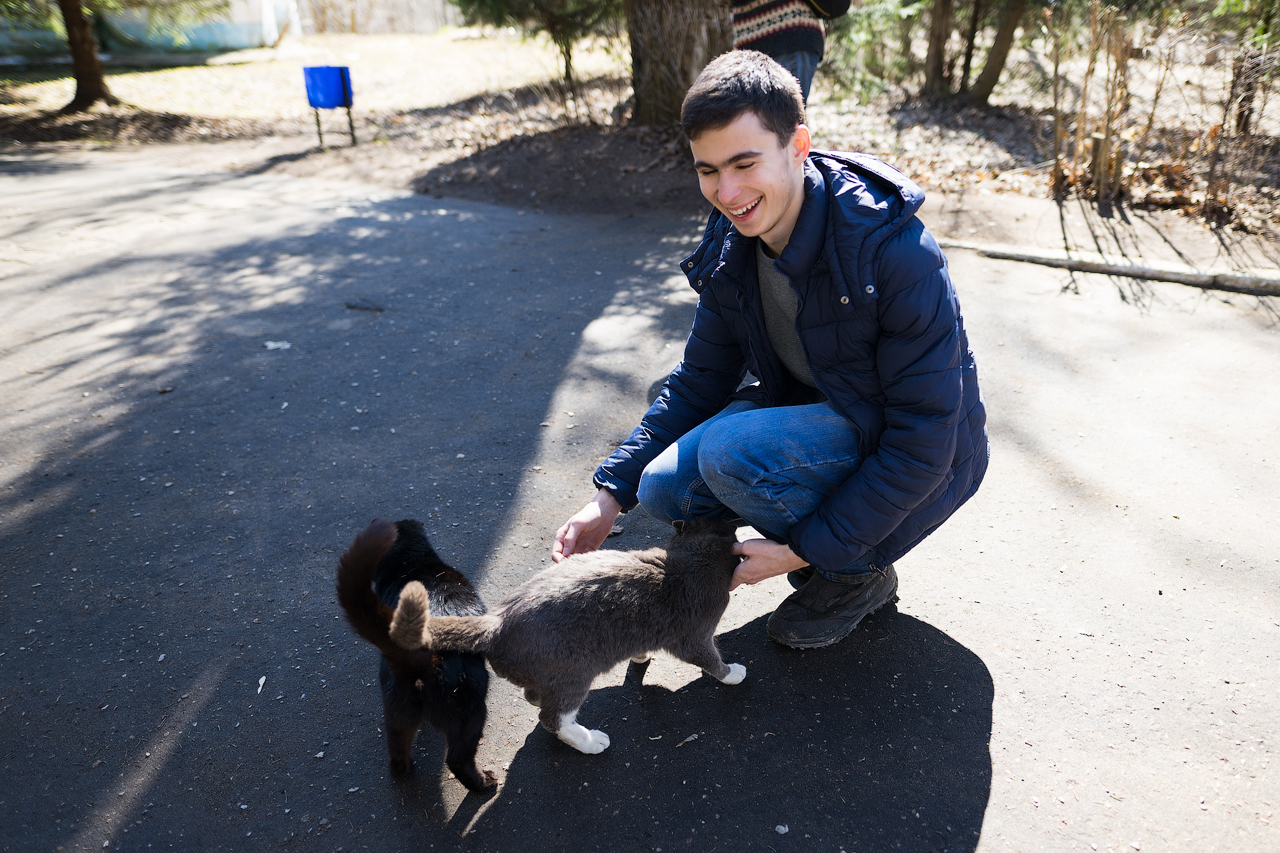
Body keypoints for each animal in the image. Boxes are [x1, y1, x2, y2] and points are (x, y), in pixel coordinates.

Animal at [335, 514, 494, 788]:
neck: (412, 565)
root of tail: (421, 658)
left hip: (398, 712)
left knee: (397, 753)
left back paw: (405, 770)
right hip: (472, 710)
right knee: (458, 760)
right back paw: (484, 783)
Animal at [389, 517, 747, 753]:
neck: (692, 557)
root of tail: (495, 621)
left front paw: (641, 655)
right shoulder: (693, 636)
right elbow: (710, 659)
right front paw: (732, 673)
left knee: (534, 696)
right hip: (573, 672)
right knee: (553, 717)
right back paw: (590, 741)